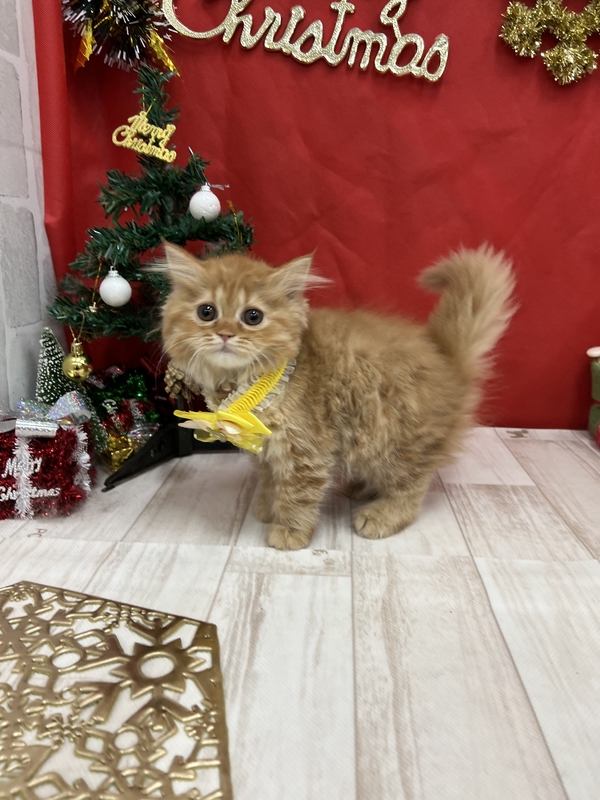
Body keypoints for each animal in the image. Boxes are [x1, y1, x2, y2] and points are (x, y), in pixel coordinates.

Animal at [159, 242, 515, 550]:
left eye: (253, 317)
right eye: (207, 312)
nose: (224, 334)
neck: (245, 380)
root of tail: (447, 360)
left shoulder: (307, 450)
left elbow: (298, 494)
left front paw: (289, 529)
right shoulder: (264, 449)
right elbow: (270, 480)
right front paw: (268, 506)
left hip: (397, 440)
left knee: (410, 488)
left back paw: (382, 514)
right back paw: (360, 487)